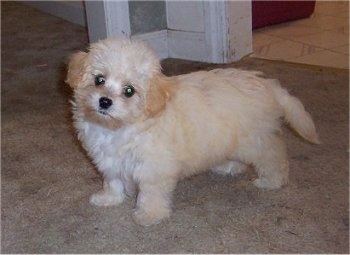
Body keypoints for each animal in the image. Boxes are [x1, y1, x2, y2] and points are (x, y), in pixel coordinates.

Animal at [66, 37, 320, 225]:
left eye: (129, 91)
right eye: (99, 80)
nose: (104, 101)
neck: (119, 127)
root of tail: (267, 85)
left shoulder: (153, 167)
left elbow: (150, 193)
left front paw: (148, 215)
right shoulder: (110, 159)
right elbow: (113, 180)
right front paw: (108, 198)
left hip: (256, 139)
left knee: (273, 155)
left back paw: (272, 181)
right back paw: (229, 167)